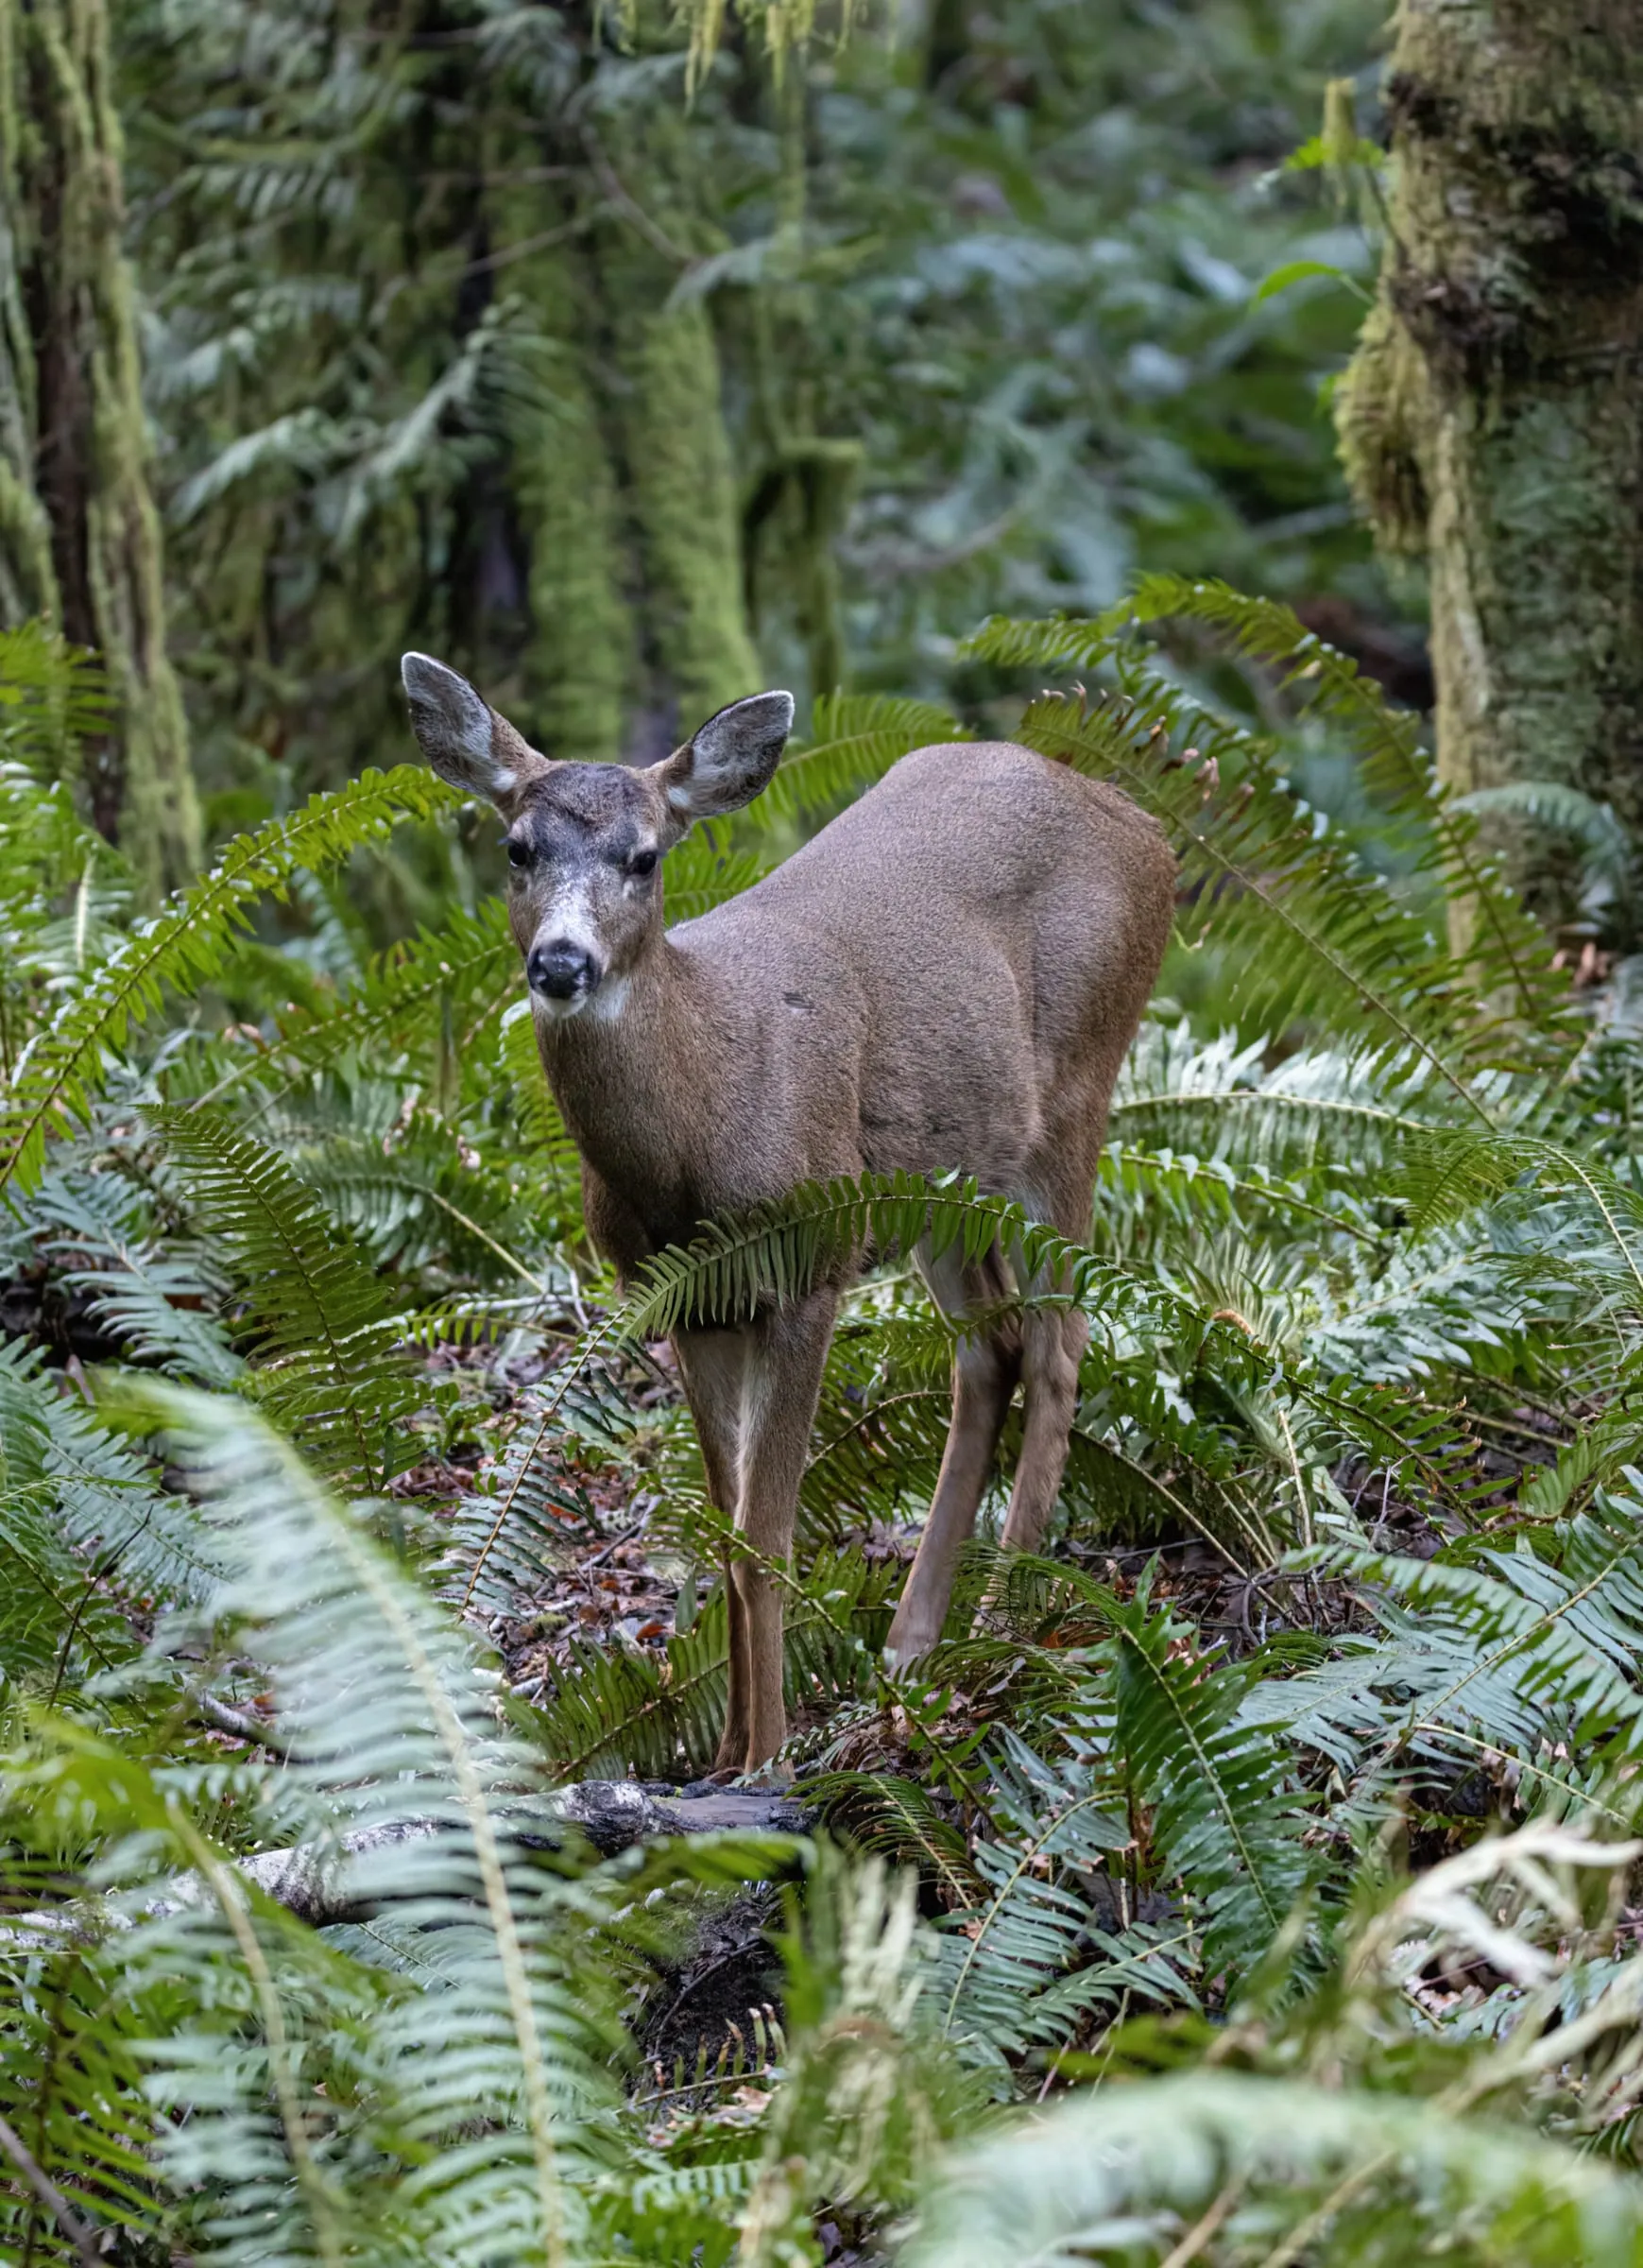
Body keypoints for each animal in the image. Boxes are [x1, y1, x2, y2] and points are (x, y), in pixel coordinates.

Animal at [400, 656, 1176, 1777]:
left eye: (643, 857)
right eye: (515, 848)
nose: (560, 964)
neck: (696, 1134)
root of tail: (1149, 833)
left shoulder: (809, 1266)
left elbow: (766, 1536)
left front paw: (765, 1759)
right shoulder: (686, 1302)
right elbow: (723, 1533)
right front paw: (724, 1753)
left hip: (1074, 1092)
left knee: (1061, 1336)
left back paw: (1001, 1620)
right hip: (940, 1176)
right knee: (990, 1348)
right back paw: (909, 1642)